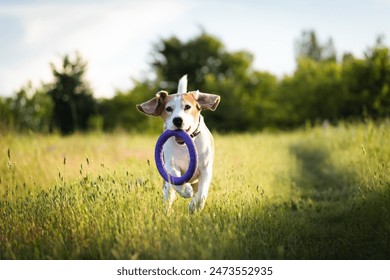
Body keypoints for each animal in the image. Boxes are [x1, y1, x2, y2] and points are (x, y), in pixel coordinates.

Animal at [138, 74, 221, 212]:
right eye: (168, 109)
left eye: (187, 107)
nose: (177, 120)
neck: (184, 146)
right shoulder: (170, 165)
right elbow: (174, 177)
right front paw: (185, 190)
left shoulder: (206, 169)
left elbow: (201, 194)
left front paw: (195, 205)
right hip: (166, 187)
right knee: (168, 196)